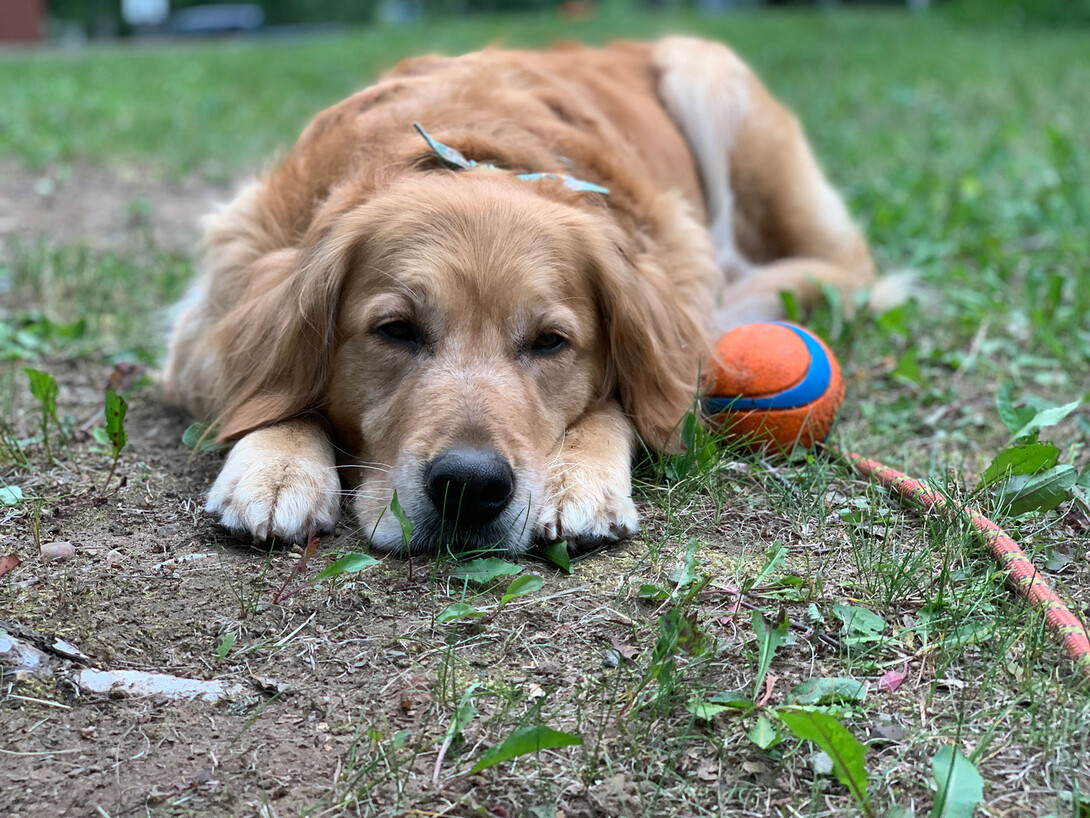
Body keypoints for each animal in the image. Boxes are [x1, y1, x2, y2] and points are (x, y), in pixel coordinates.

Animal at [161, 35, 876, 554]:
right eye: (396, 331)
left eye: (550, 343)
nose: (471, 487)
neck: (470, 149)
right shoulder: (213, 305)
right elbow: (269, 383)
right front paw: (278, 463)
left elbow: (626, 397)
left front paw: (578, 476)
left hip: (707, 75)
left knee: (851, 267)